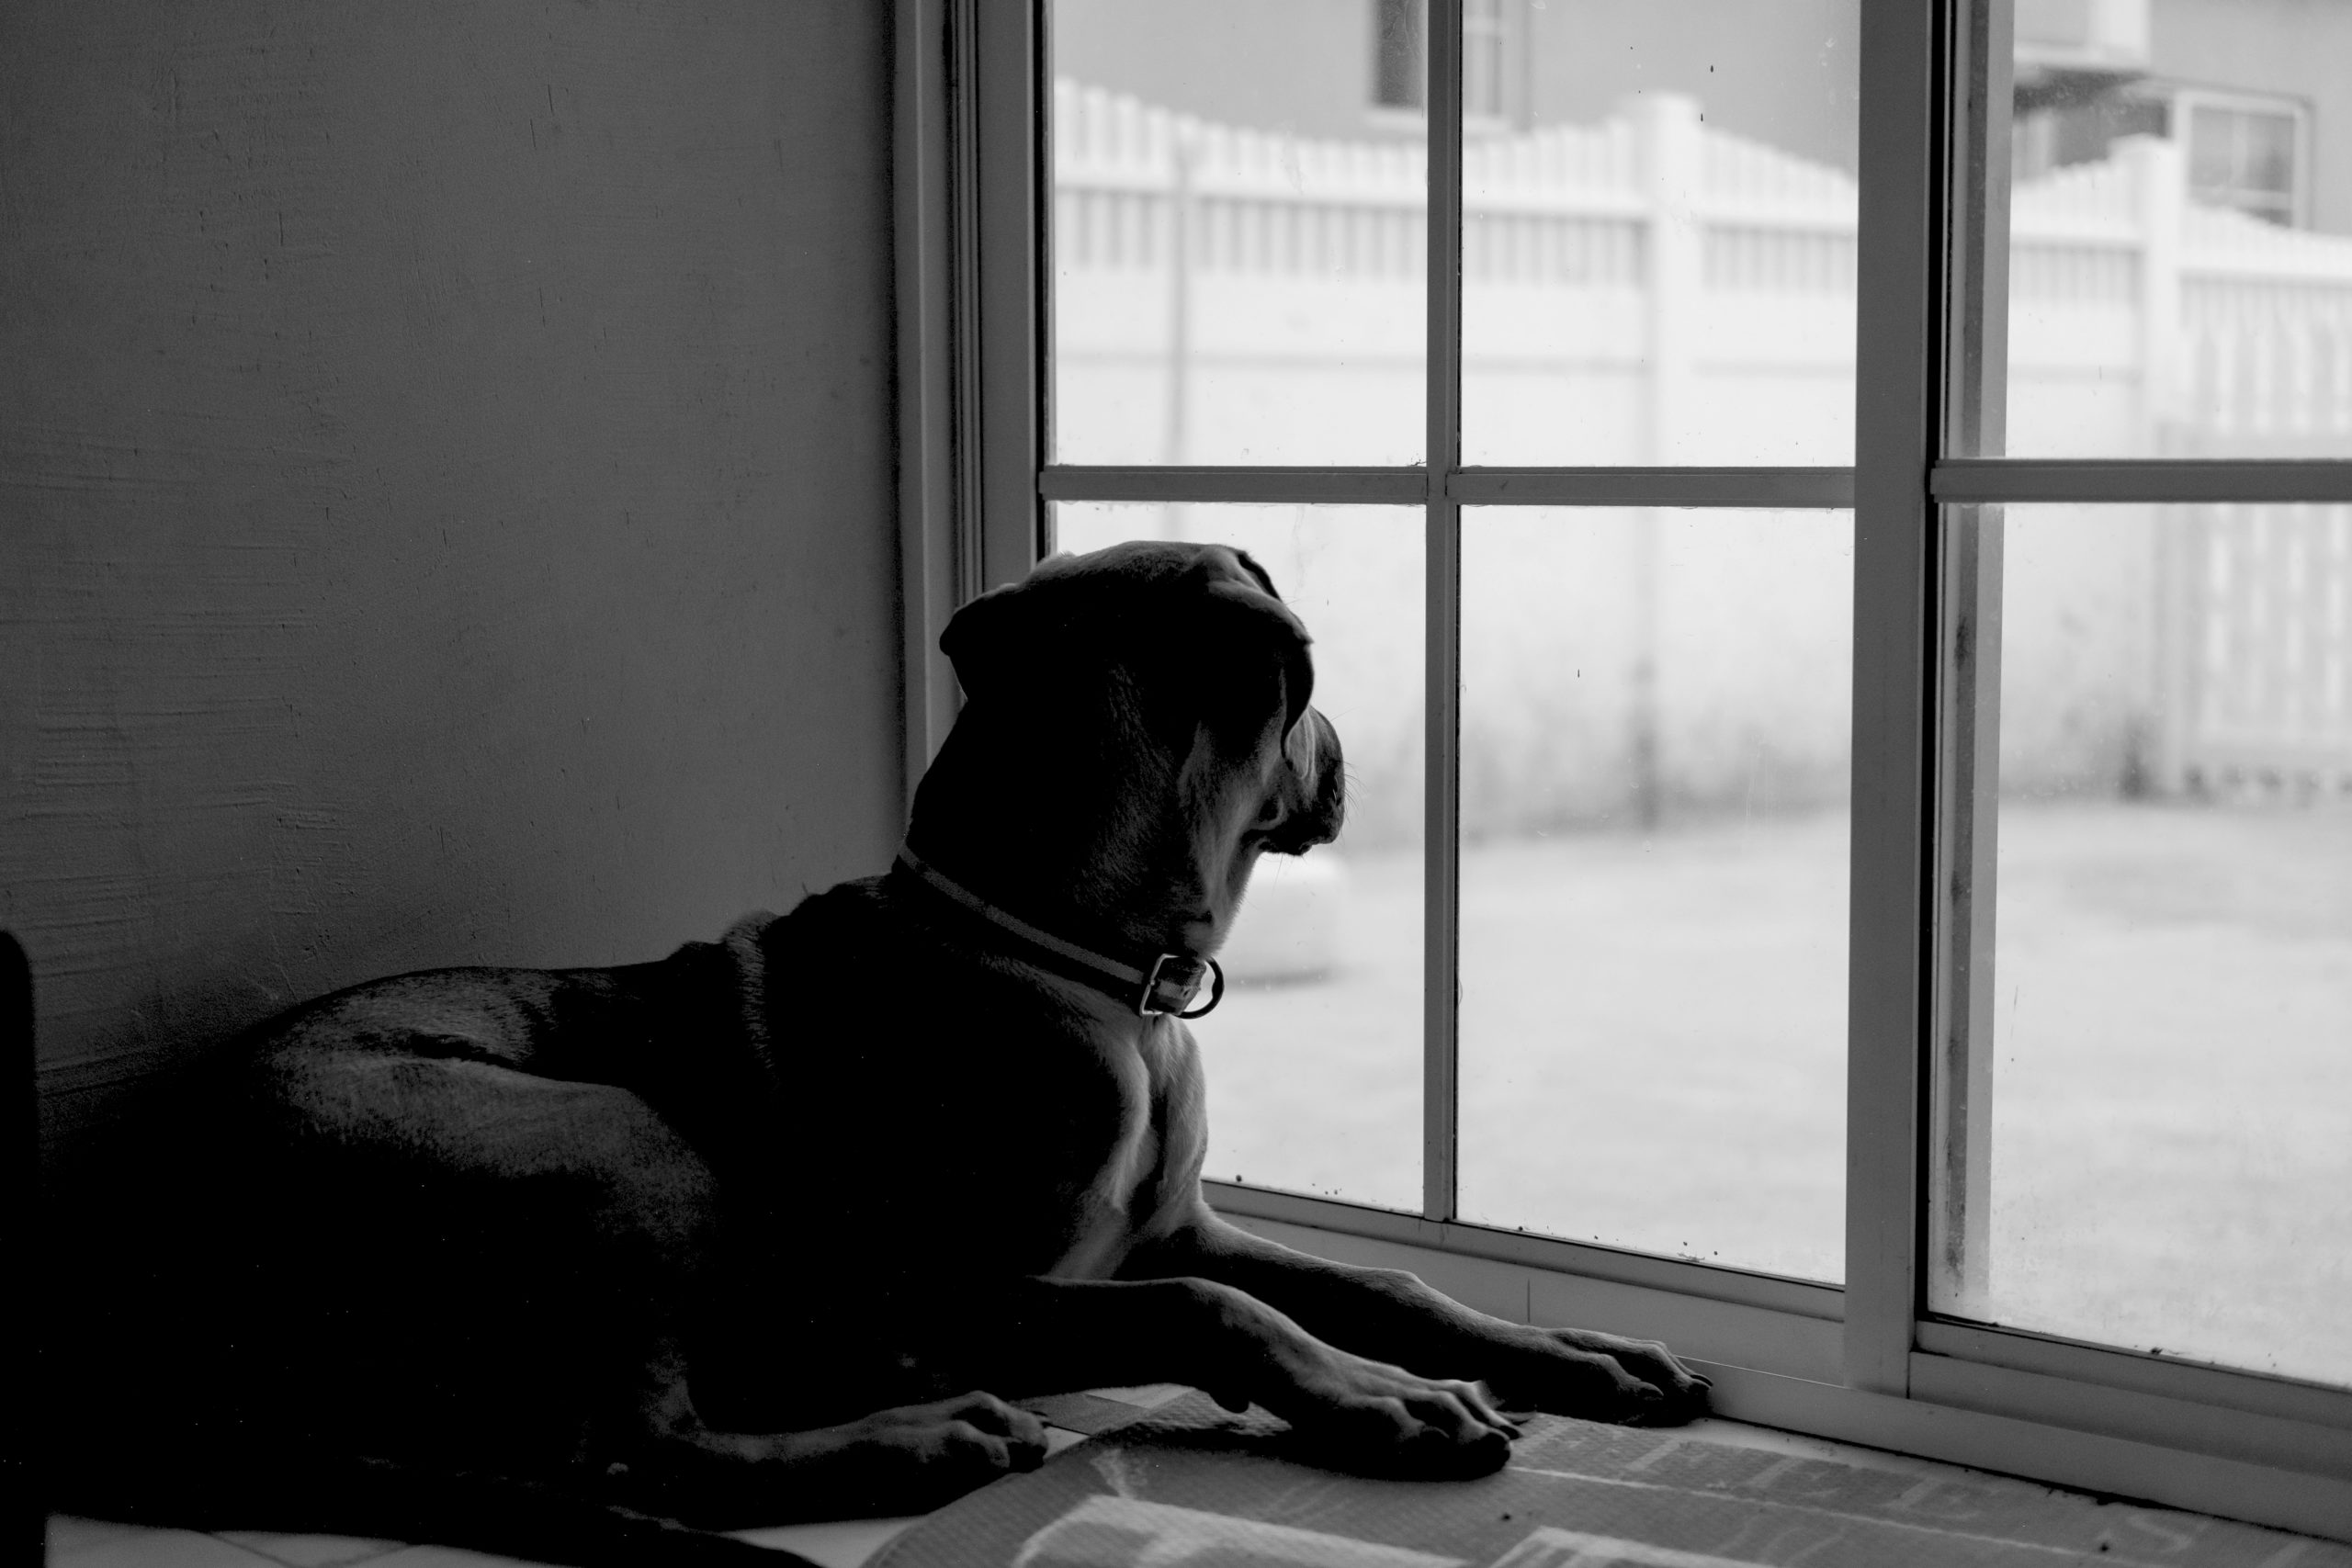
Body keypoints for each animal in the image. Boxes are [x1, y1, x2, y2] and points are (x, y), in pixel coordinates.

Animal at [47, 540, 1707, 1561]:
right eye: (1294, 685)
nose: (1350, 751)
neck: (1080, 955)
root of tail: (127, 1297)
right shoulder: (940, 1292)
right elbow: (1217, 1312)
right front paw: (1386, 1402)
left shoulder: (1177, 1224)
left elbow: (1382, 1281)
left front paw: (1579, 1351)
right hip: (609, 1137)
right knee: (626, 1447)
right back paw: (917, 1443)